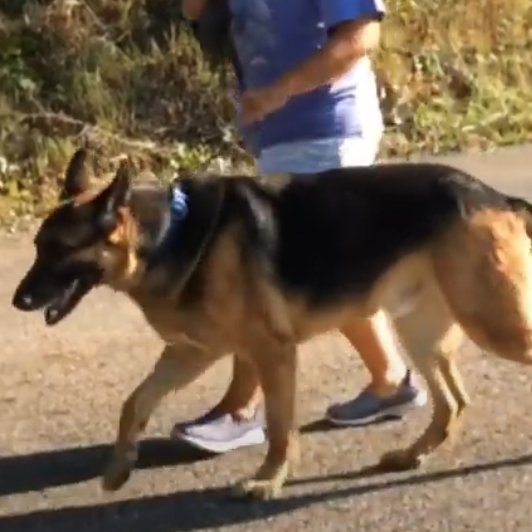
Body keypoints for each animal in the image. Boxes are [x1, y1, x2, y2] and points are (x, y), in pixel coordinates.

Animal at [11, 149, 532, 498]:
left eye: (59, 250)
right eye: (37, 246)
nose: (18, 301)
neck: (168, 233)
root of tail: (497, 197)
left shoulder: (272, 351)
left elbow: (280, 426)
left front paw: (268, 480)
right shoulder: (193, 351)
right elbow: (135, 401)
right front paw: (120, 467)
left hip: (492, 323)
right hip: (422, 332)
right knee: (453, 403)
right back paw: (410, 455)